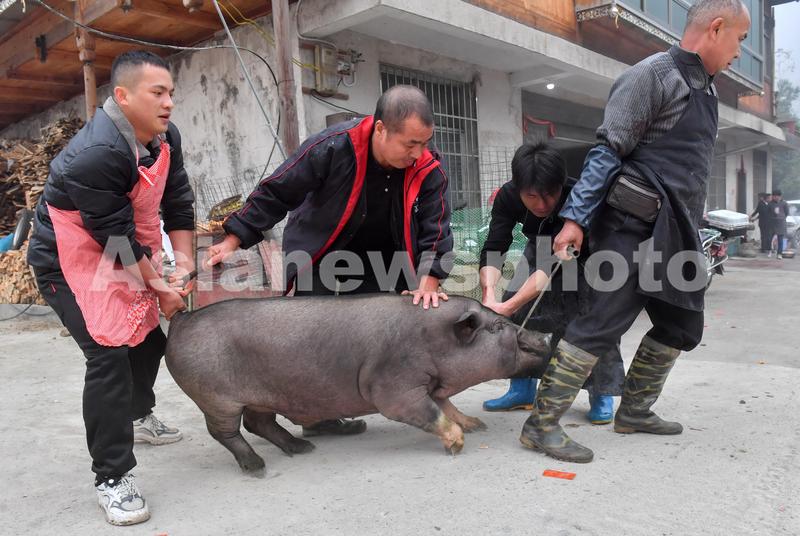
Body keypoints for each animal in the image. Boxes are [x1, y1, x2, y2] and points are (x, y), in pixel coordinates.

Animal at [165, 294, 551, 475]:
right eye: (498, 328)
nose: (545, 335)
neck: (433, 340)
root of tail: (183, 320)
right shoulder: (396, 388)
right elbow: (430, 412)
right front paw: (457, 445)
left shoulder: (432, 383)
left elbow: (447, 406)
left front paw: (476, 425)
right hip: (216, 398)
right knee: (227, 432)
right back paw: (257, 467)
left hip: (262, 397)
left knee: (260, 423)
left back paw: (303, 449)